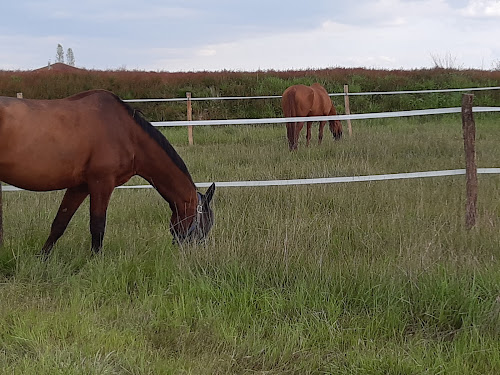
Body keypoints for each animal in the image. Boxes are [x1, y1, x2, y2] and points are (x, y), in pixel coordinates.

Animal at [0, 89, 215, 258]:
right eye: (206, 224)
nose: (195, 254)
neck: (127, 133)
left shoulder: (80, 186)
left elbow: (60, 223)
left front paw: (42, 259)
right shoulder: (101, 182)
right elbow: (97, 225)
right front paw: (96, 261)